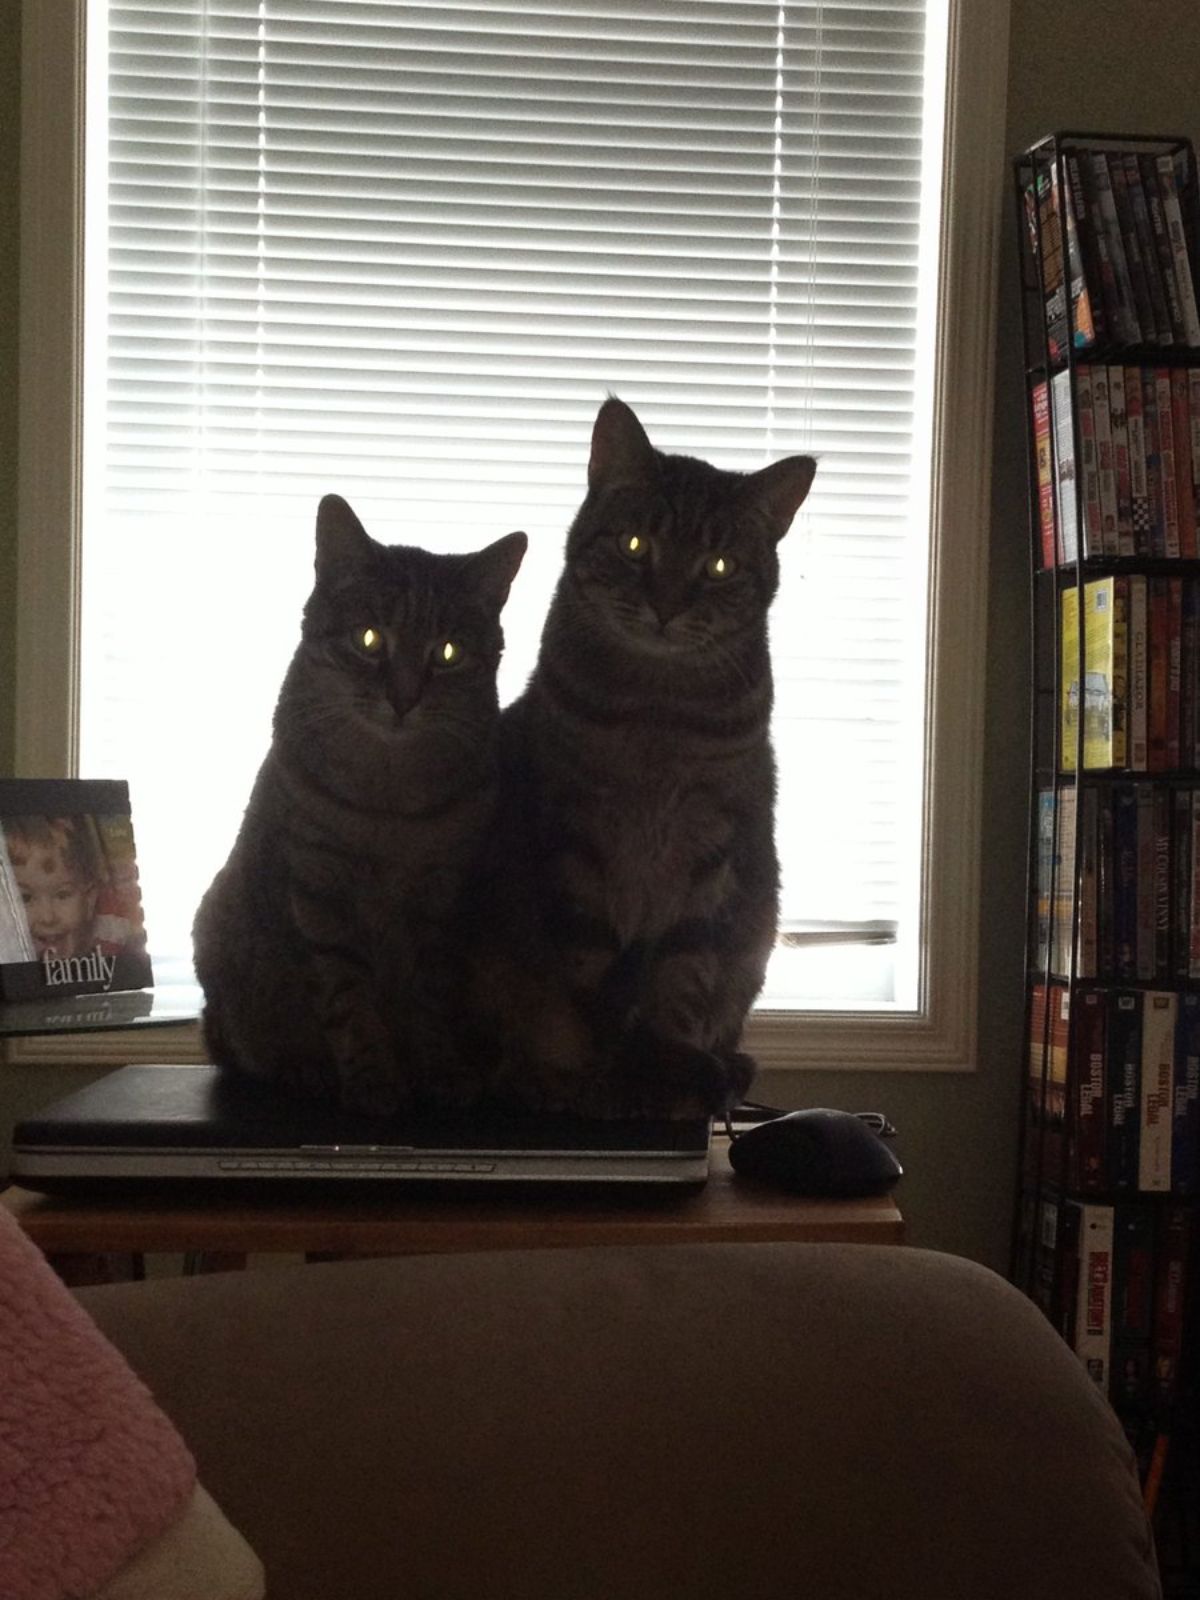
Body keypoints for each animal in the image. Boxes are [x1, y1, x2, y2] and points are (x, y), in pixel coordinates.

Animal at [196, 492, 524, 1120]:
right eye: (369, 639)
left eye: (448, 652)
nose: (403, 699)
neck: (388, 805)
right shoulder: (319, 893)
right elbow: (348, 1003)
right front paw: (373, 1080)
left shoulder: (442, 897)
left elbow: (428, 1000)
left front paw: (440, 1071)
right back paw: (300, 1067)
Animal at [470, 398, 819, 1120]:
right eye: (635, 546)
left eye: (719, 566)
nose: (665, 605)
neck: (660, 718)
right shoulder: (577, 834)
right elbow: (591, 973)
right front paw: (606, 1072)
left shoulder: (710, 845)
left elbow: (682, 976)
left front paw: (670, 1060)